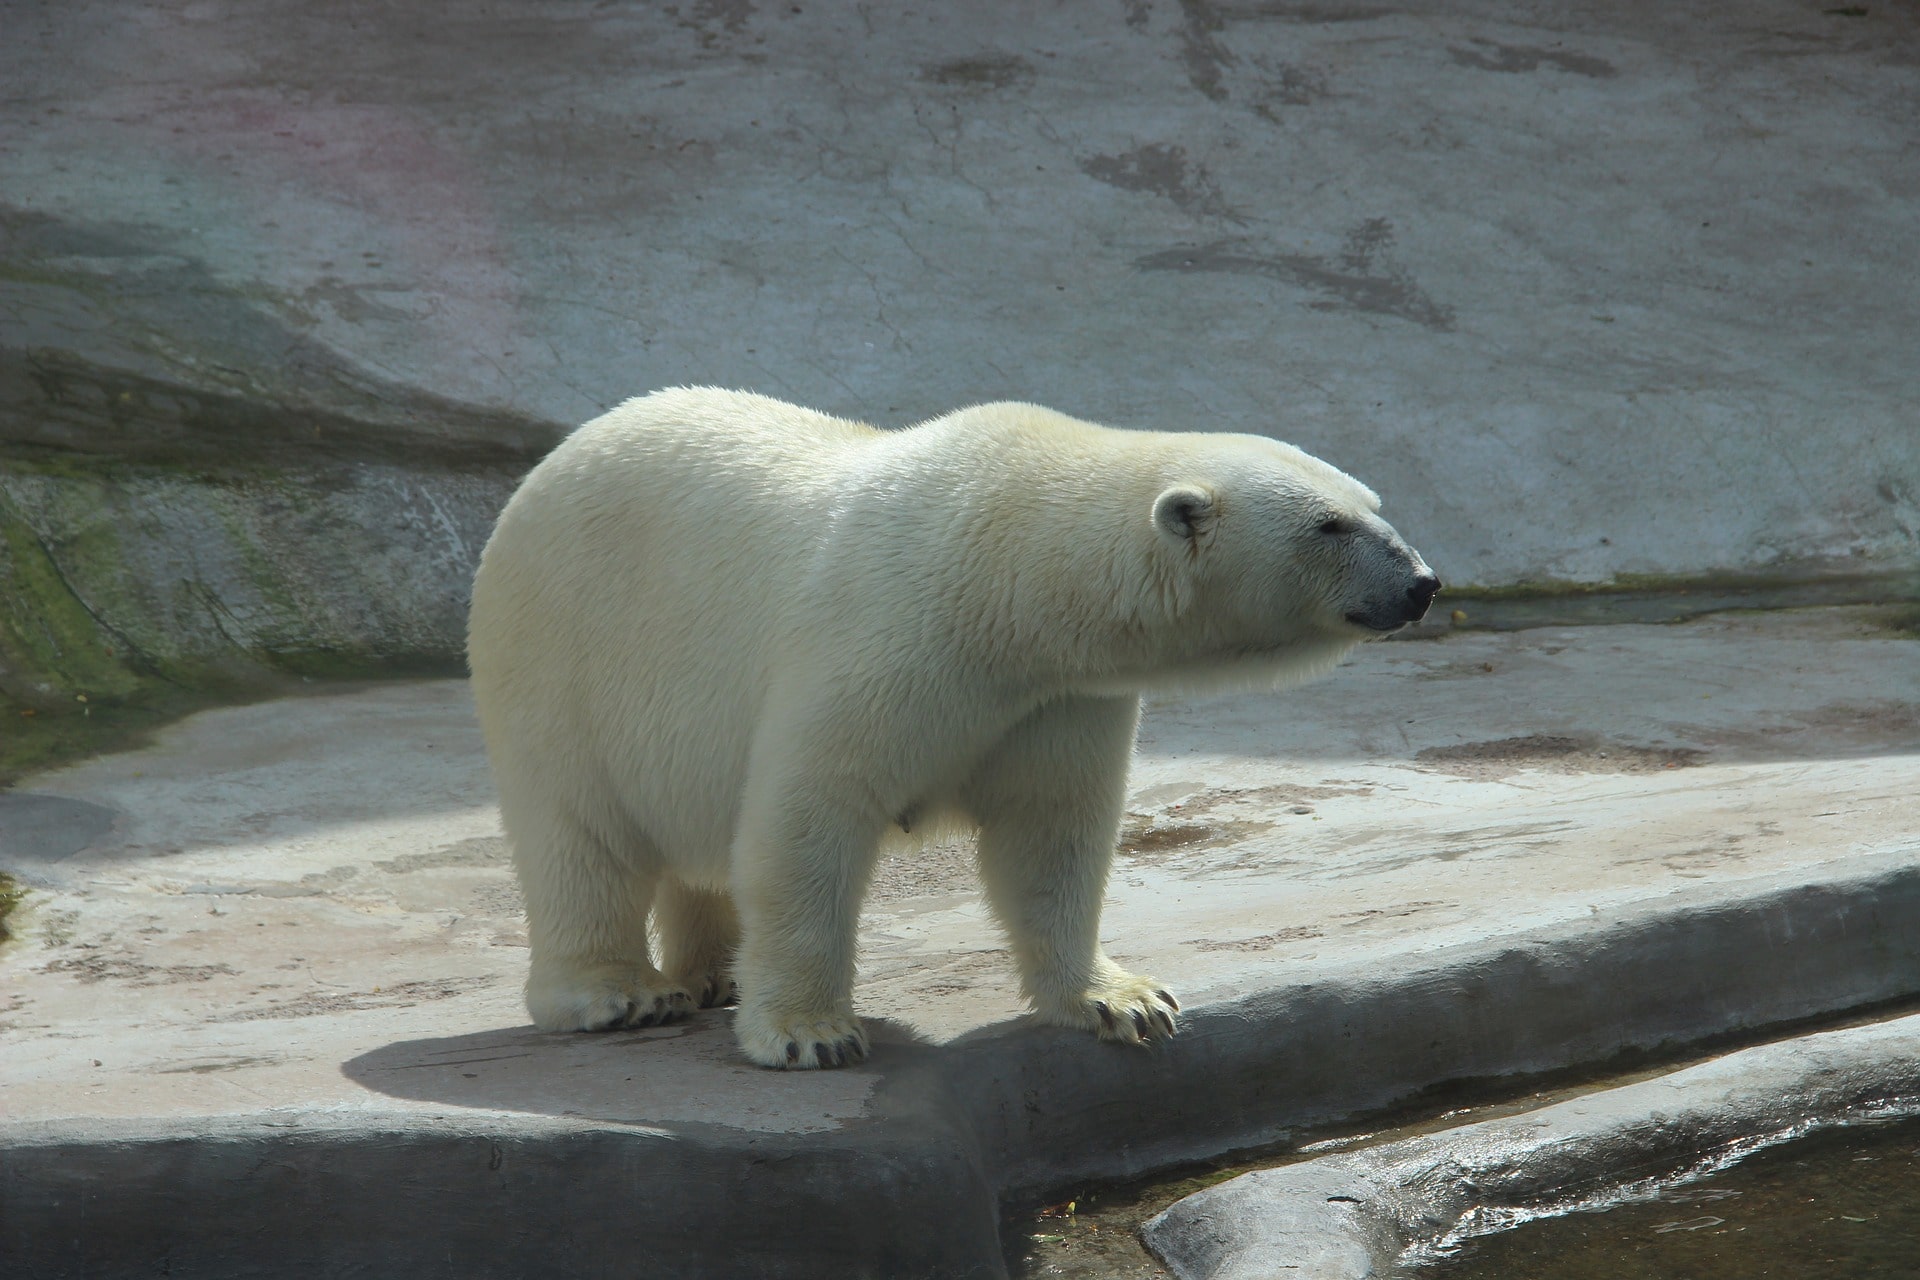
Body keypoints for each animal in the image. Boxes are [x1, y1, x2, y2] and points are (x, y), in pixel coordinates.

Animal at [464, 391, 1436, 1074]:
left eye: (1372, 503)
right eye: (1329, 524)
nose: (1422, 582)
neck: (1006, 575)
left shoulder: (1056, 697)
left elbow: (1050, 833)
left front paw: (1125, 1001)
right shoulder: (887, 637)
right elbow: (810, 815)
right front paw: (811, 1033)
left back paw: (718, 971)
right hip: (560, 652)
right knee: (579, 832)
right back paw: (620, 992)